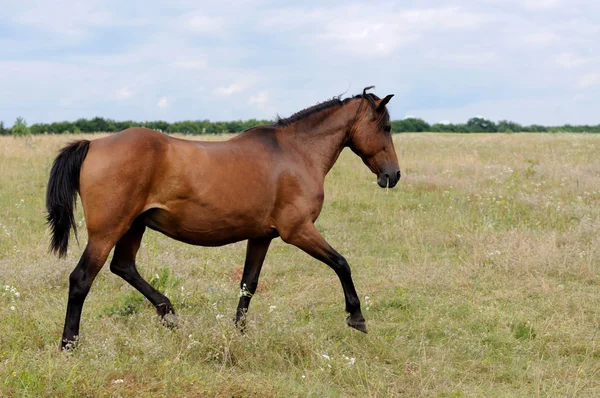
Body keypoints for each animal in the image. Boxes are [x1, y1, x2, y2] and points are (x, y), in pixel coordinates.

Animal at [47, 87, 400, 348]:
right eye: (386, 127)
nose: (393, 175)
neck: (297, 152)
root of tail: (93, 144)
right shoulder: (298, 230)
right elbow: (341, 263)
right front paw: (356, 317)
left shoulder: (261, 235)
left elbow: (248, 284)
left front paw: (240, 331)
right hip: (108, 231)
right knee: (81, 279)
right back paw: (69, 344)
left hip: (133, 227)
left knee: (123, 266)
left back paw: (169, 313)